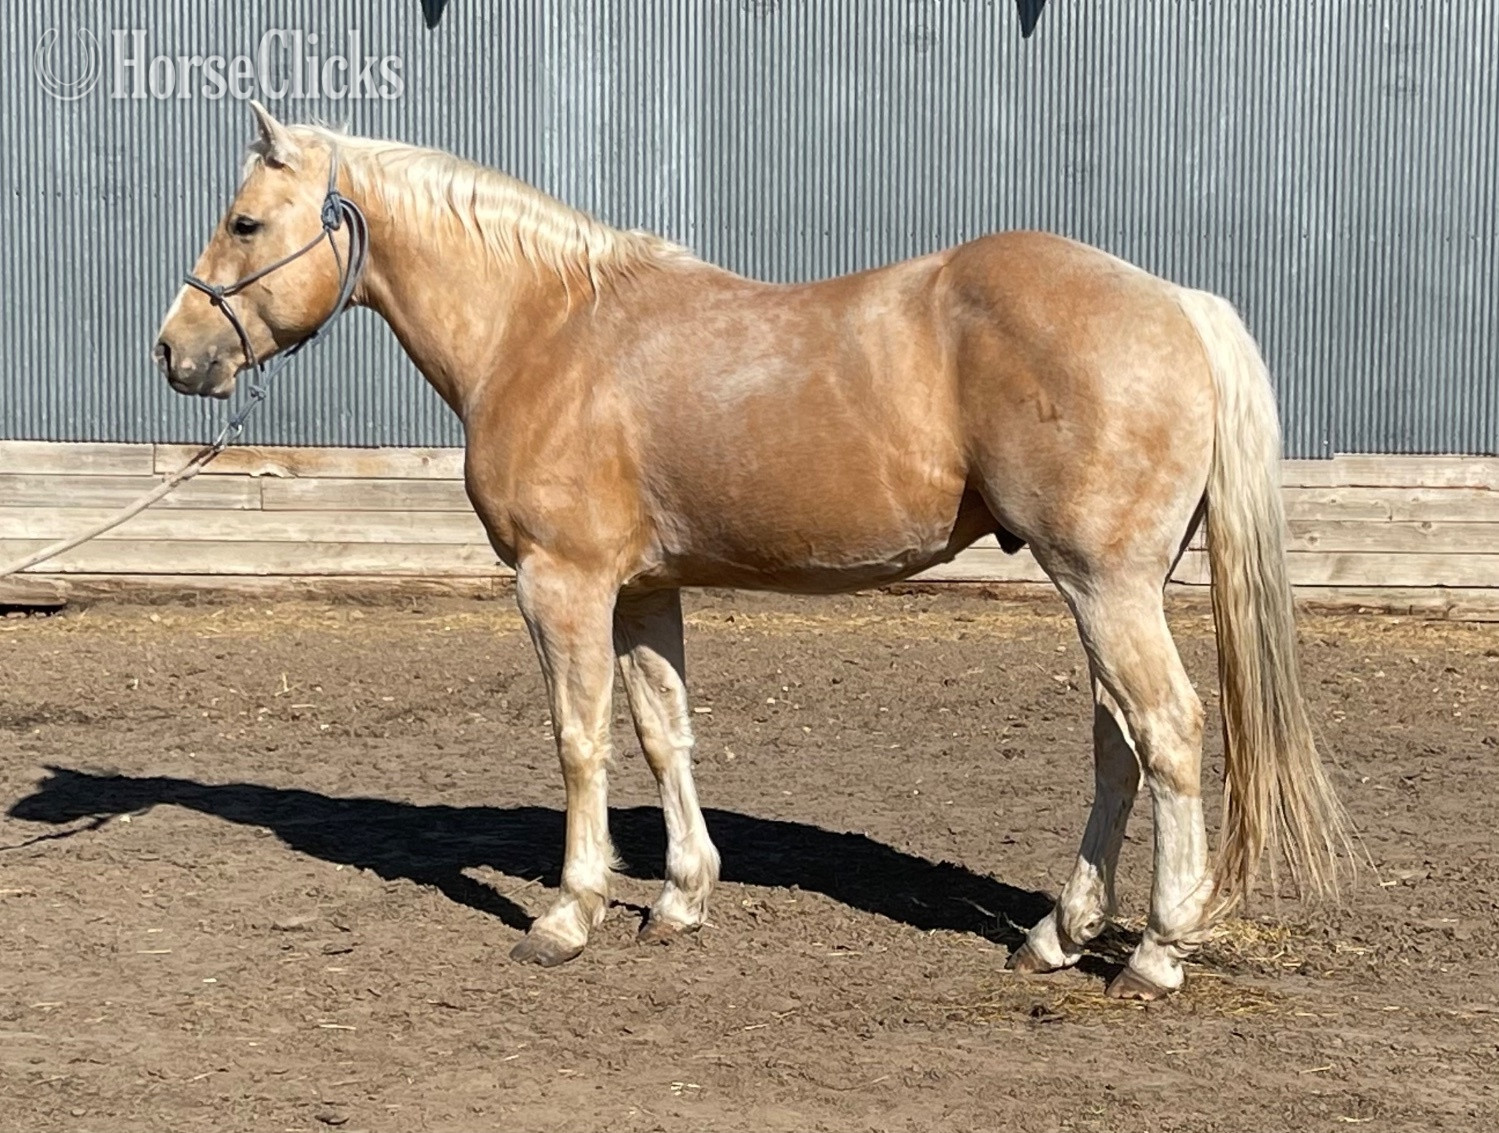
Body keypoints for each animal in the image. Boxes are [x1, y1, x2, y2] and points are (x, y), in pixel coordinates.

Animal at [153, 102, 1348, 1000]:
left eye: (246, 221)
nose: (175, 350)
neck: (544, 331)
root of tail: (1176, 303)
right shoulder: (642, 589)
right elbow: (661, 731)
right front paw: (680, 897)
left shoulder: (561, 584)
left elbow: (578, 741)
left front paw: (569, 912)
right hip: (1103, 587)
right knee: (1116, 744)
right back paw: (1056, 933)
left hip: (1106, 585)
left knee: (1170, 733)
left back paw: (1155, 952)